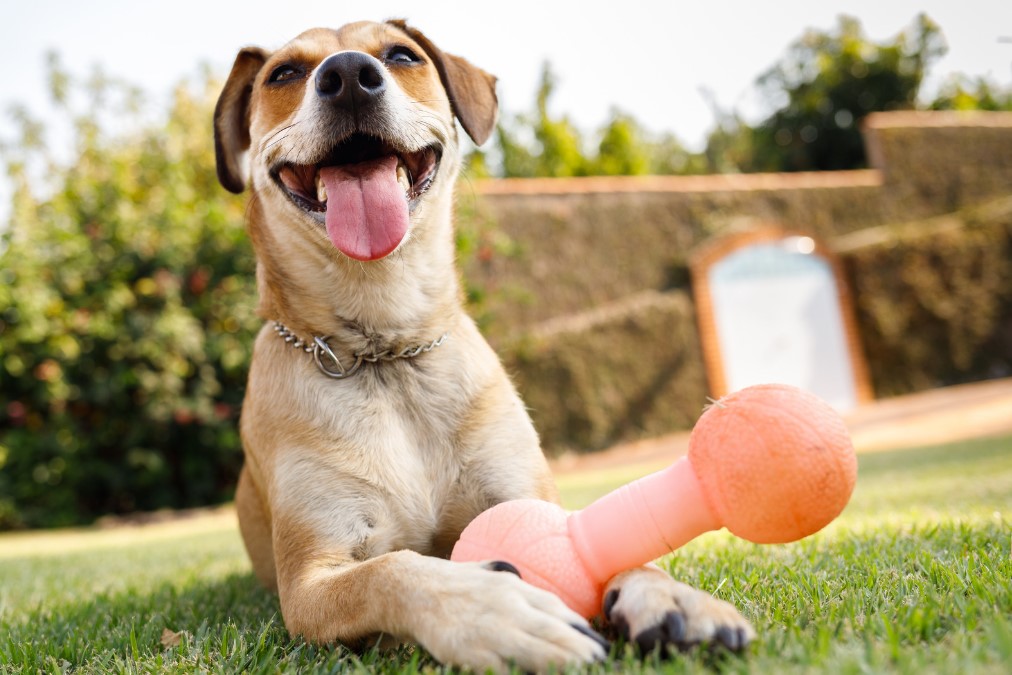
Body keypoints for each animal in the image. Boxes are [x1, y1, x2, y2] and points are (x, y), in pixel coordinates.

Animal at [211, 18, 752, 671]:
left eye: (402, 56)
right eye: (284, 73)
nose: (348, 78)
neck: (386, 353)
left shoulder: (525, 496)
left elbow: (605, 541)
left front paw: (669, 594)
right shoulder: (312, 583)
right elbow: (393, 570)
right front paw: (492, 610)